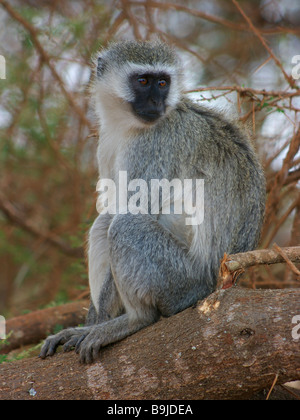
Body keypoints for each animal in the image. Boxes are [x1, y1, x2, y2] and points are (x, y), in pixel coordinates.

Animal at [39, 39, 264, 362]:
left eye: (162, 83)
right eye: (143, 81)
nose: (157, 103)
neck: (126, 127)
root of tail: (216, 286)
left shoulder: (153, 145)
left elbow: (136, 206)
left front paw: (97, 325)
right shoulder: (107, 143)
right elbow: (112, 207)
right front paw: (90, 321)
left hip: (182, 281)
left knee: (125, 225)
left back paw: (136, 319)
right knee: (105, 222)